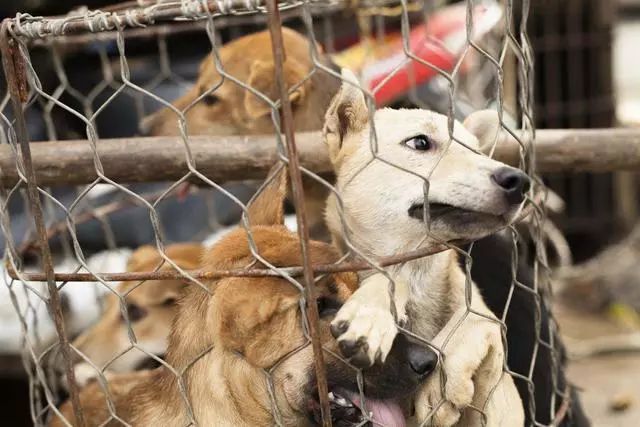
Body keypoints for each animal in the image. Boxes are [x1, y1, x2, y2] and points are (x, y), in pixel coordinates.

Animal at [324, 71, 524, 427]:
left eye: (478, 152)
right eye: (419, 142)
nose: (519, 181)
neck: (417, 271)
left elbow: (482, 321)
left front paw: (443, 383)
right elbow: (389, 281)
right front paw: (372, 312)